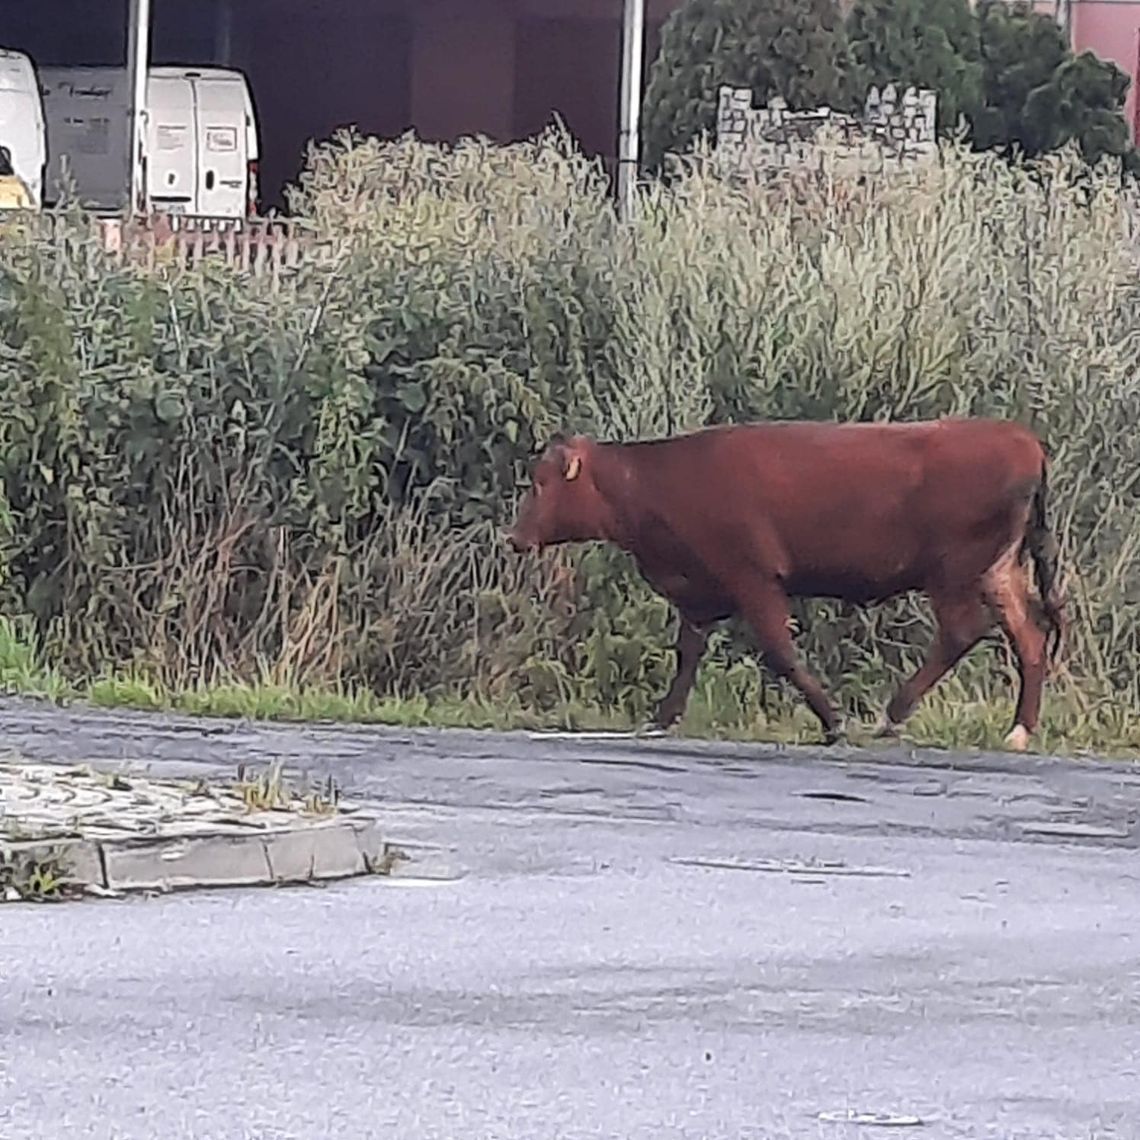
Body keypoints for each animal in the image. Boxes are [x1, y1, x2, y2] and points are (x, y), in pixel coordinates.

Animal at [510, 417, 1067, 747]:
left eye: (540, 483)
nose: (514, 537)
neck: (663, 480)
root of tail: (1019, 438)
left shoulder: (752, 577)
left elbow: (780, 652)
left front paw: (833, 721)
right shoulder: (699, 592)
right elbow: (687, 655)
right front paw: (661, 718)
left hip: (954, 571)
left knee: (960, 632)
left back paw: (894, 714)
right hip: (997, 571)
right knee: (1030, 639)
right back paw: (1019, 730)